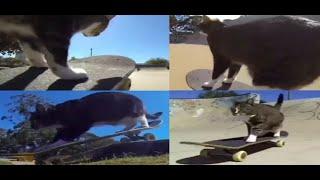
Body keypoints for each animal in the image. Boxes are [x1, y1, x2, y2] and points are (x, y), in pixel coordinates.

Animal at [29, 92, 162, 146]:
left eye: (34, 121)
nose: (31, 127)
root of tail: (141, 102)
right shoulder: (63, 128)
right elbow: (58, 136)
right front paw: (50, 144)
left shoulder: (82, 125)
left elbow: (69, 135)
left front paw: (62, 141)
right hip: (123, 118)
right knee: (132, 125)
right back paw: (123, 131)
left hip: (134, 111)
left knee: (142, 120)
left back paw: (143, 126)